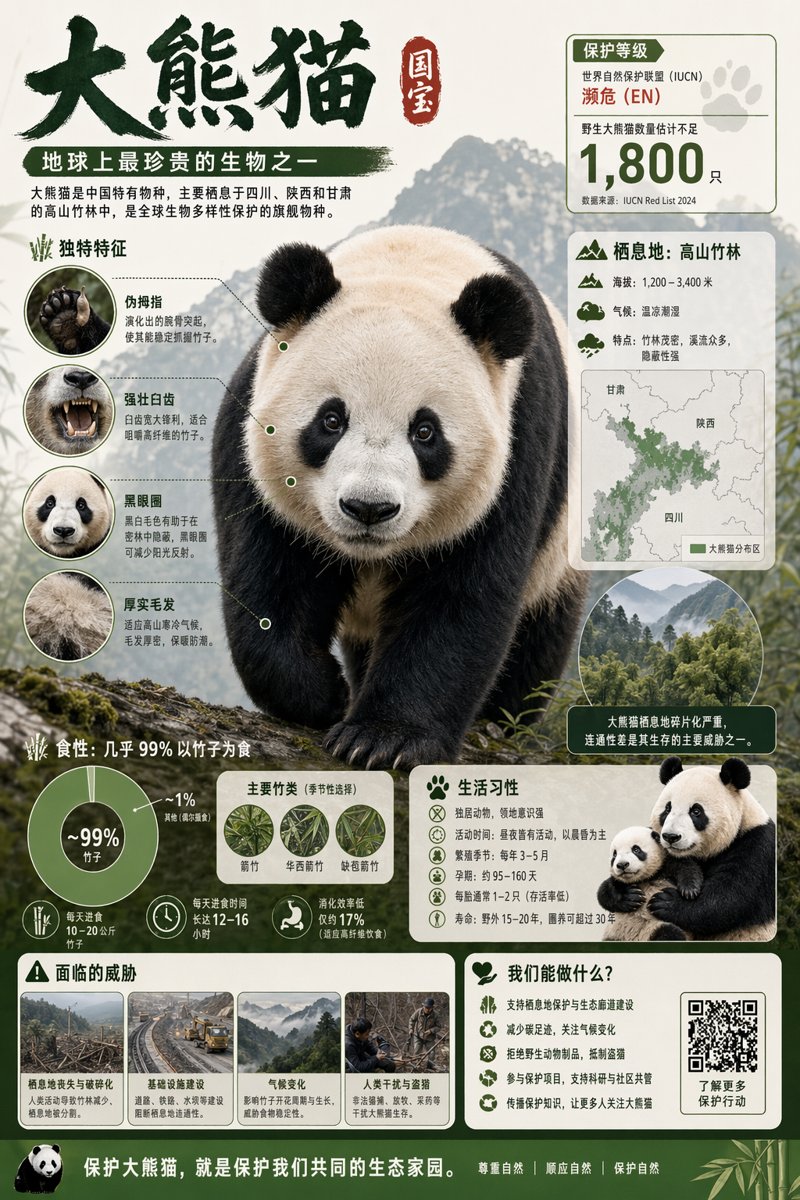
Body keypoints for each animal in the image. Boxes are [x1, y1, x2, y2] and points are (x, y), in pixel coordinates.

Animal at [212, 225, 586, 769]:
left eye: (425, 431)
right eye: (331, 420)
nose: (369, 509)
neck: (407, 267)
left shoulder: (519, 444)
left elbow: (460, 599)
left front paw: (382, 739)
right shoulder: (251, 437)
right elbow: (267, 578)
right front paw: (325, 696)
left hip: (560, 551)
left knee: (540, 634)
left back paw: (500, 720)